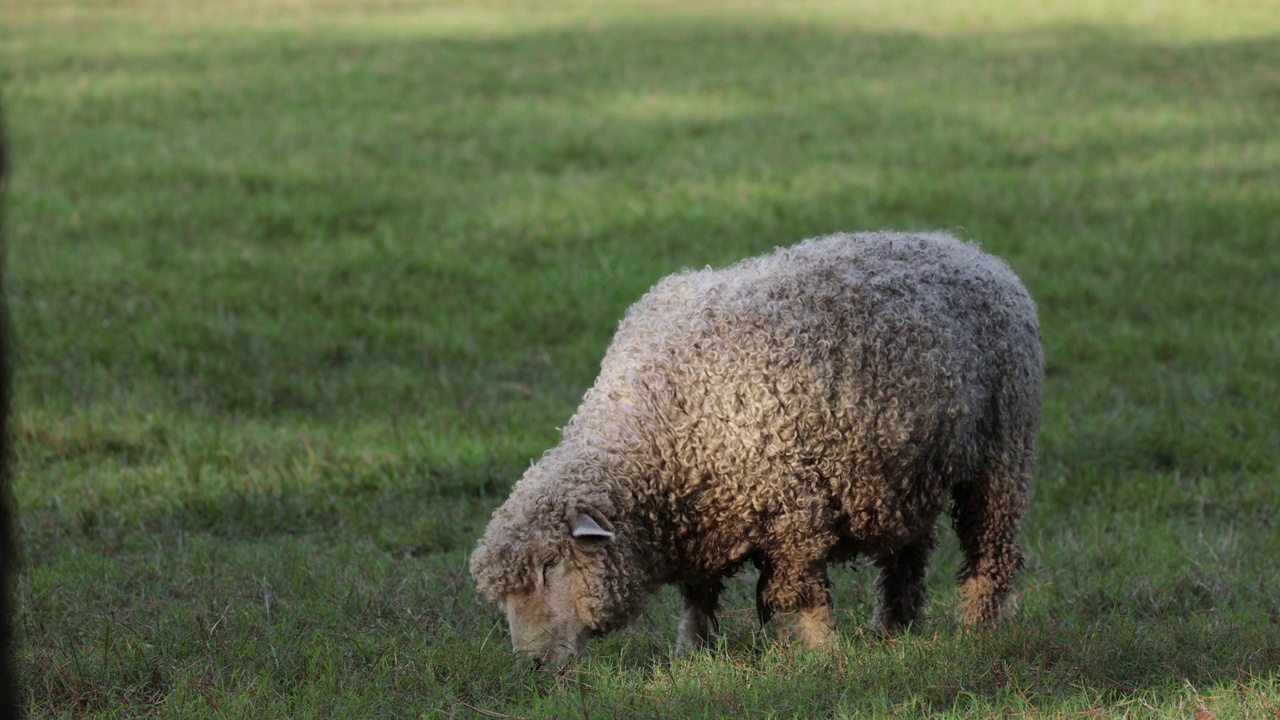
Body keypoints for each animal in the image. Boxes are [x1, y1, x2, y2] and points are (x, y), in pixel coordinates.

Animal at [468, 229, 1039, 666]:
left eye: (550, 566)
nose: (532, 664)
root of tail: (970, 251)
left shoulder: (794, 512)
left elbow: (800, 593)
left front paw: (823, 656)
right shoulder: (695, 525)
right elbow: (697, 599)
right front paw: (691, 656)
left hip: (1002, 455)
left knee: (991, 553)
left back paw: (977, 632)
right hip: (907, 473)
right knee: (907, 558)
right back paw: (894, 629)